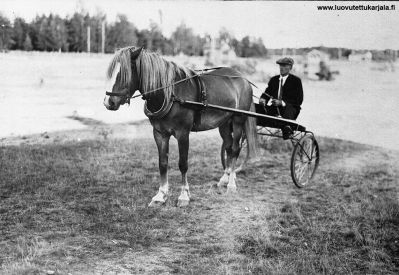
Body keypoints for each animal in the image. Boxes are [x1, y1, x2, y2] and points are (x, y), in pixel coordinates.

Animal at [104, 47, 260, 207]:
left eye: (125, 73)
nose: (109, 102)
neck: (171, 95)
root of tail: (243, 78)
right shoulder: (159, 133)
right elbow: (162, 163)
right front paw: (161, 195)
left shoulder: (183, 133)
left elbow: (183, 164)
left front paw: (184, 196)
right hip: (223, 123)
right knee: (228, 147)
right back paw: (225, 178)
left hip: (238, 120)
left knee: (235, 149)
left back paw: (231, 184)